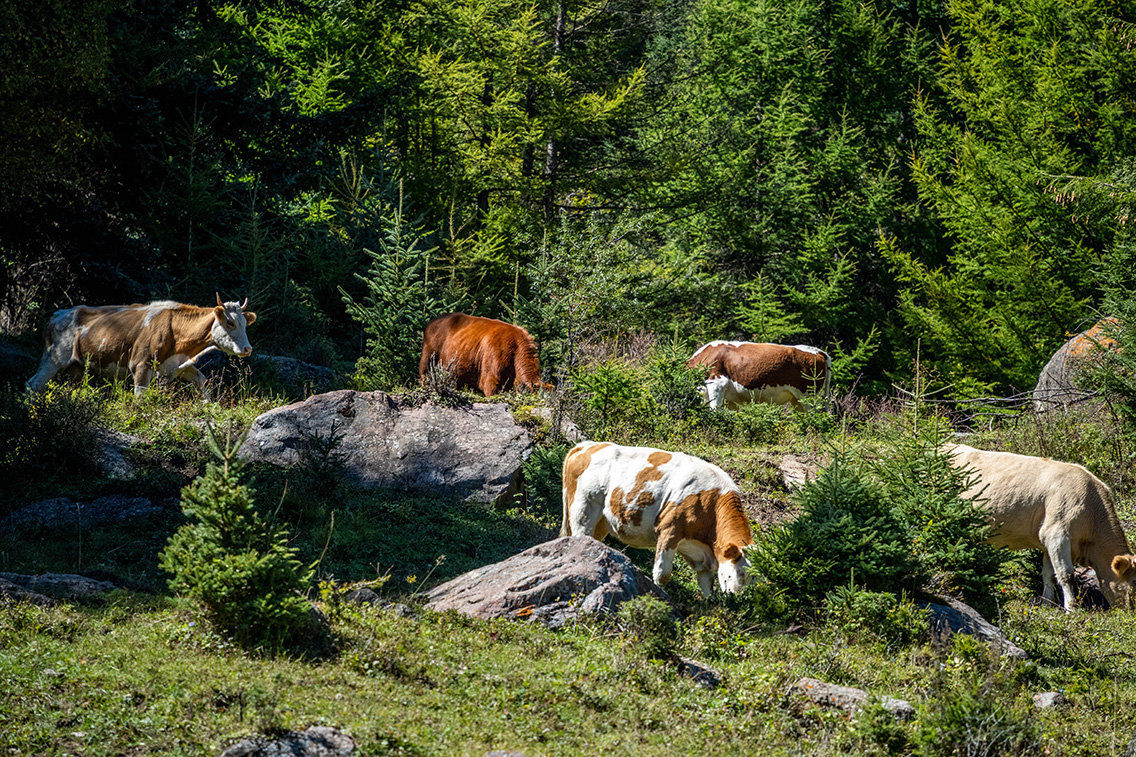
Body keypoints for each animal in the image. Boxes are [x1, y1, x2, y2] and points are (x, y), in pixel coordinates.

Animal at [24, 295, 257, 400]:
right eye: (230, 322)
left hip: (77, 367)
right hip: (54, 358)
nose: (247, 349)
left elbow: (202, 381)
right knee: (32, 384)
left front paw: (208, 407)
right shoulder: (141, 364)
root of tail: (58, 314)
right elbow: (140, 399)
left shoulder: (178, 365)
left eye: (245, 323)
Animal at [561, 436, 754, 595]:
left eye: (754, 578)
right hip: (583, 509)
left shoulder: (700, 554)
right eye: (739, 572)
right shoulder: (669, 531)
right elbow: (663, 574)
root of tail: (587, 446)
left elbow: (706, 584)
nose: (737, 597)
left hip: (600, 522)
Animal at [681, 340, 836, 409]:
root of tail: (818, 351)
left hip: (808, 396)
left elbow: (714, 410)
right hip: (797, 399)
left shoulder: (717, 383)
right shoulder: (729, 399)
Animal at [949, 443, 1136, 609]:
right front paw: (1072, 609)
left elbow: (1049, 574)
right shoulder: (1056, 534)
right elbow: (1066, 574)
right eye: (1133, 583)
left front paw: (1047, 604)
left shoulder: (1048, 543)